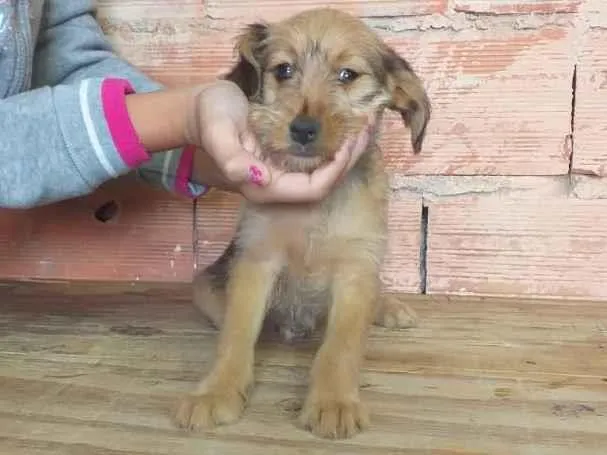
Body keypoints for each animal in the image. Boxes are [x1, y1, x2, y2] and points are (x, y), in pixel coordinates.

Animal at [176, 7, 432, 440]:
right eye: (283, 70)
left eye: (347, 75)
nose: (303, 129)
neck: (312, 210)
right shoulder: (255, 260)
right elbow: (236, 335)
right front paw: (217, 391)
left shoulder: (356, 268)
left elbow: (340, 345)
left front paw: (334, 401)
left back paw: (389, 307)